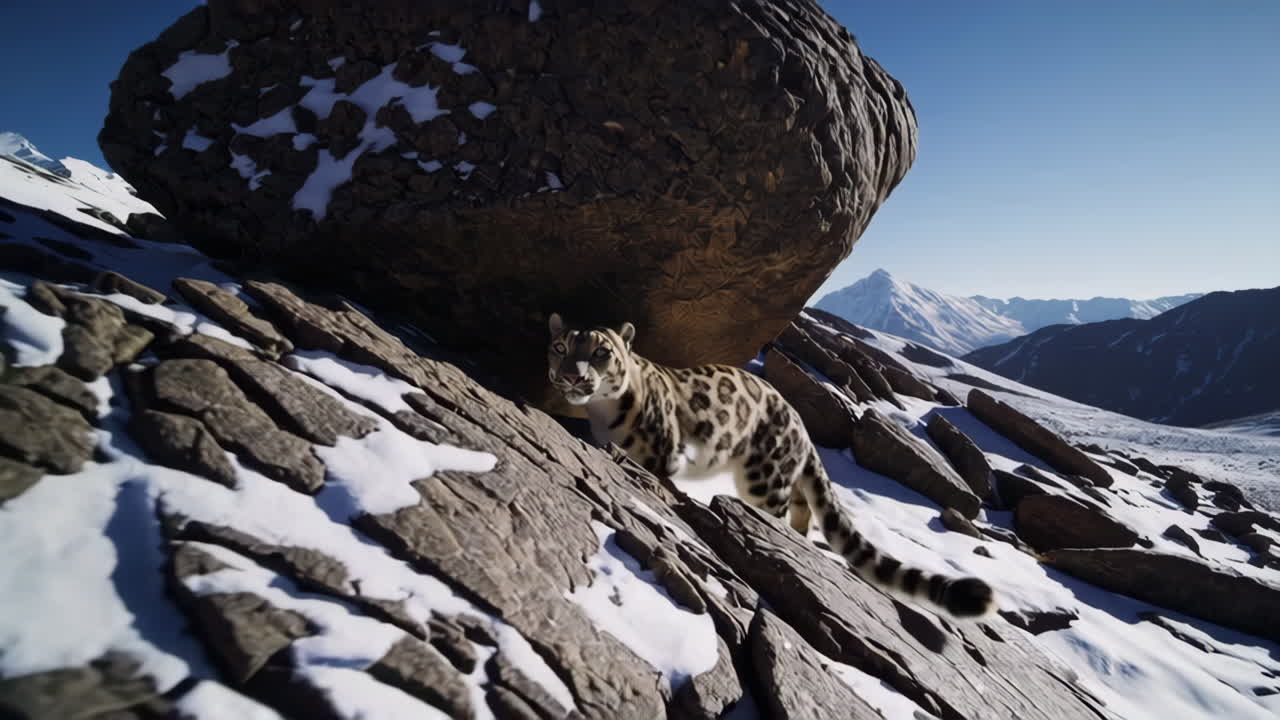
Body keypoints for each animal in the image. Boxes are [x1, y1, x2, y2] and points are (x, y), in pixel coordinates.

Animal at [547, 313, 995, 618]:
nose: (571, 376)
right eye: (561, 348)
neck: (602, 414)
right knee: (803, 511)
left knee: (780, 511)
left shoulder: (662, 452)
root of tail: (800, 424)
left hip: (766, 479)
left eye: (601, 351)